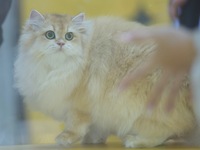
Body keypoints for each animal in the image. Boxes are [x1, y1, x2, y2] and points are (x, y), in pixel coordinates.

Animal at [14, 9, 197, 148]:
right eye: (50, 35)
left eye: (69, 36)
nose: (60, 43)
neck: (58, 68)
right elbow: (95, 128)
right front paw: (93, 140)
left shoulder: (79, 106)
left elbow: (75, 125)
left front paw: (66, 138)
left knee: (164, 131)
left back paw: (135, 141)